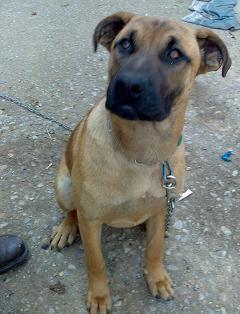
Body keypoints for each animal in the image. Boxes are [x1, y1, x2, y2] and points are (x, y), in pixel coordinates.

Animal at [49, 12, 232, 314]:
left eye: (175, 53)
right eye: (125, 44)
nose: (127, 86)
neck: (142, 150)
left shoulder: (160, 207)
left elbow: (154, 249)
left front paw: (156, 278)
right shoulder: (91, 218)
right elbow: (95, 262)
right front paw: (99, 295)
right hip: (64, 185)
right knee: (72, 210)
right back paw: (66, 228)